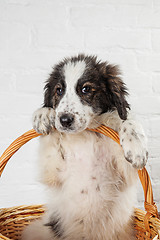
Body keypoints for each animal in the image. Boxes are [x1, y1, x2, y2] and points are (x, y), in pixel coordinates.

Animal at [21, 54, 148, 240]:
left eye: (86, 89)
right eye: (59, 90)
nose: (65, 120)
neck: (86, 135)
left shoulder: (125, 172)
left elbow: (127, 120)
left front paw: (136, 147)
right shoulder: (53, 169)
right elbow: (51, 136)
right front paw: (44, 114)